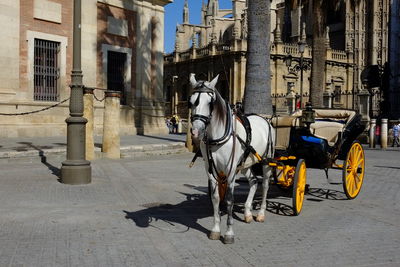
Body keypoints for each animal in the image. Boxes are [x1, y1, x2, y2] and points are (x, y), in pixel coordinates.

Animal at [188, 73, 276, 245]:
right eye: (191, 101)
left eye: (210, 103)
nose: (196, 131)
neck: (219, 135)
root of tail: (265, 120)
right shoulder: (210, 170)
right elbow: (216, 198)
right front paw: (215, 230)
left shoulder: (230, 171)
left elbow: (229, 200)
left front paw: (229, 233)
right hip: (245, 163)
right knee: (254, 182)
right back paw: (248, 212)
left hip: (267, 161)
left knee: (265, 186)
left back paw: (261, 213)